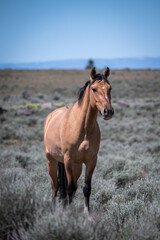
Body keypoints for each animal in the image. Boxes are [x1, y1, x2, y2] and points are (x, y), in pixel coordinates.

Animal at [43, 66, 114, 211]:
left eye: (110, 88)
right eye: (94, 89)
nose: (108, 111)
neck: (83, 128)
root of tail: (51, 116)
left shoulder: (91, 161)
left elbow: (86, 188)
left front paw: (86, 213)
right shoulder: (68, 160)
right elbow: (69, 188)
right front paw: (69, 213)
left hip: (77, 167)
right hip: (51, 161)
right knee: (55, 185)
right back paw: (53, 209)